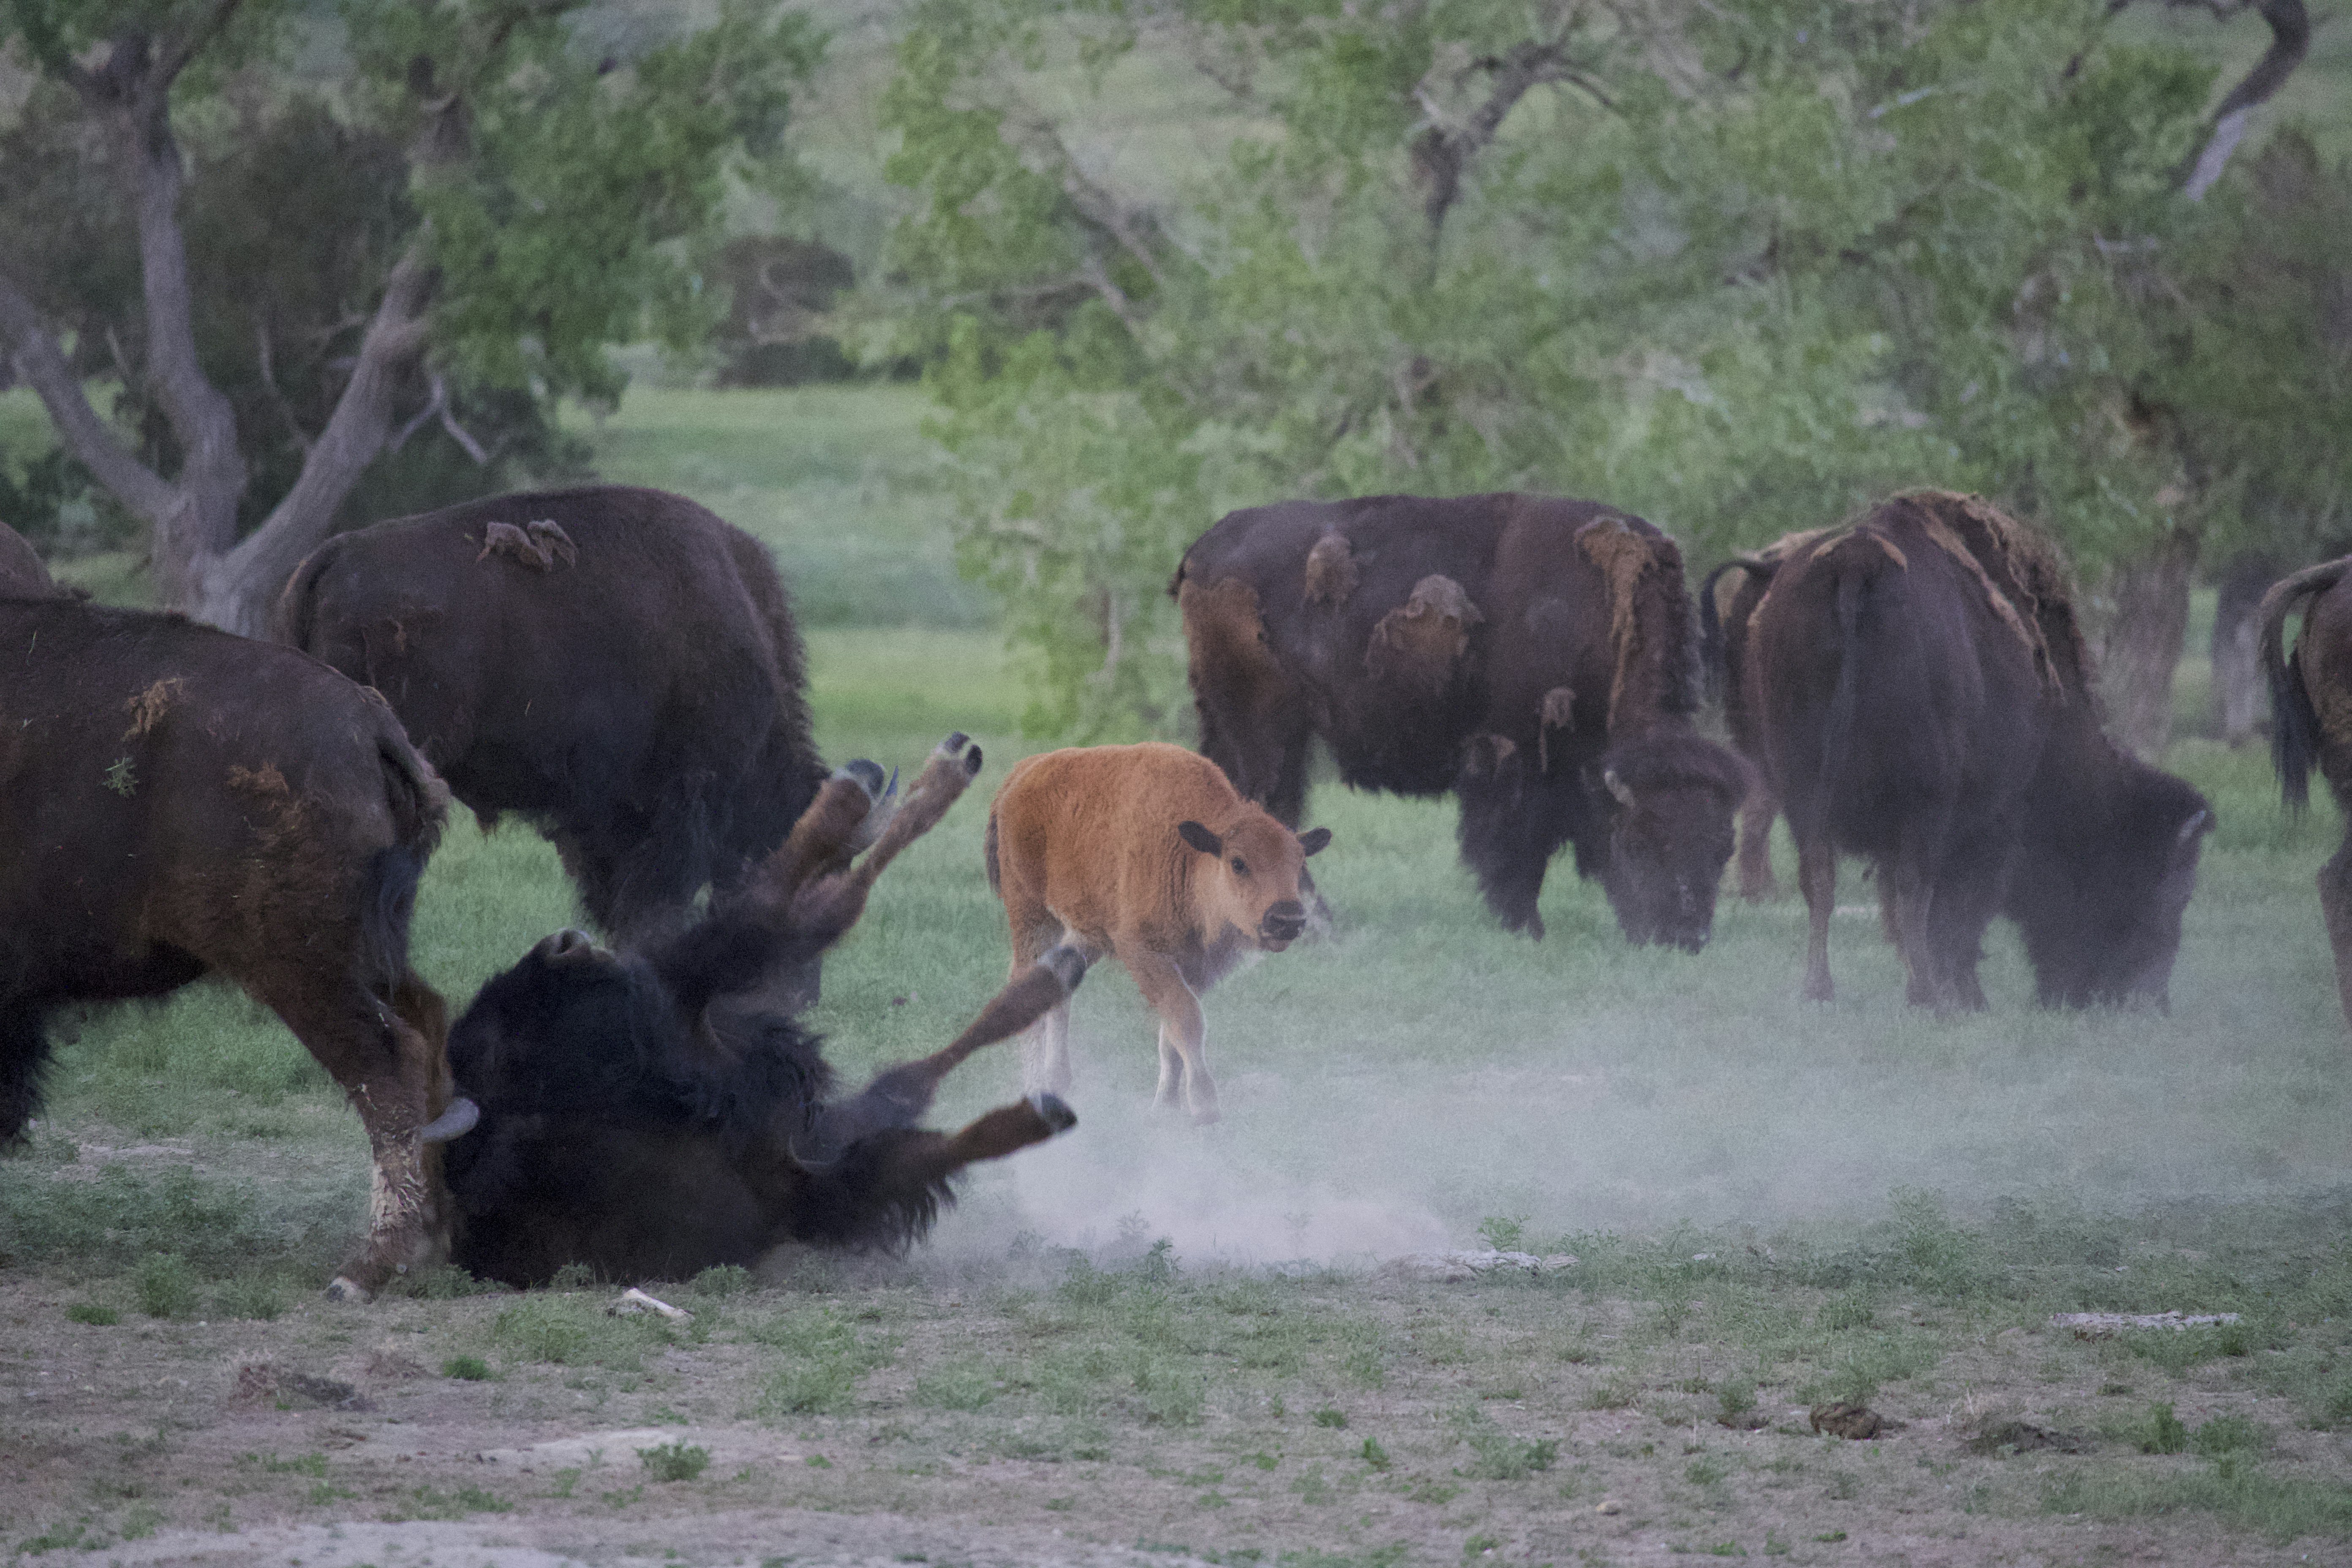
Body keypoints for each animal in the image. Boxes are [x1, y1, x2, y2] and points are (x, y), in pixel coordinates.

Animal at [0, 597, 464, 1299]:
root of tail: (368, 725)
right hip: (365, 955)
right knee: (428, 1024)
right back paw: (429, 1246)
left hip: (297, 966)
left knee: (387, 1065)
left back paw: (364, 1270)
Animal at [442, 735, 1088, 1287]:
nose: (565, 946)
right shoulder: (811, 1181)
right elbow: (928, 1137)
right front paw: (1045, 1110)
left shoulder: (806, 1151)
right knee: (783, 915)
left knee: (818, 920)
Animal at [1173, 493, 1750, 949]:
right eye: (1641, 841)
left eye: (1725, 847)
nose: (1686, 938)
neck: (1596, 608)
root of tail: (1203, 549)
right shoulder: (1517, 760)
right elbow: (1514, 851)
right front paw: (1527, 927)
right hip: (1263, 728)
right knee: (1267, 807)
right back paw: (1316, 928)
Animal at [1748, 491, 2211, 1011]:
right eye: (2171, 894)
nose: (2149, 999)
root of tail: (1856, 563)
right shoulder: (1993, 821)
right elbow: (1960, 910)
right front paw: (1968, 995)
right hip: (1926, 797)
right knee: (1914, 887)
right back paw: (1928, 997)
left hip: (1801, 788)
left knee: (1821, 877)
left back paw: (1821, 989)